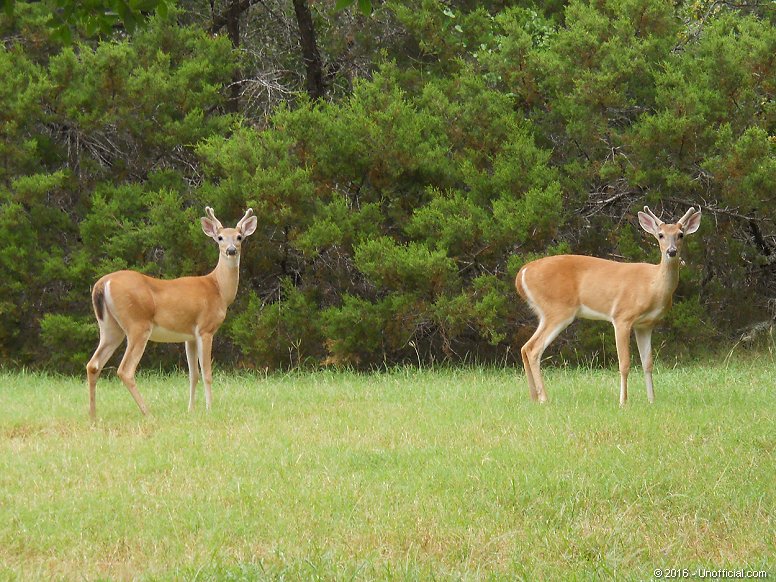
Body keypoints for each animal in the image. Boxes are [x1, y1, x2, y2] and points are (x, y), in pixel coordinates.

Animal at [87, 208, 258, 418]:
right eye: (220, 238)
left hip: (110, 327)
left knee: (93, 365)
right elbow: (207, 373)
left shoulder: (189, 336)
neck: (218, 288)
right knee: (125, 370)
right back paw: (148, 413)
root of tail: (103, 284)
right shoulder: (205, 329)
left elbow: (193, 374)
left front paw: (191, 409)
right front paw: (209, 409)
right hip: (137, 325)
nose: (231, 250)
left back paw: (93, 415)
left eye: (239, 237)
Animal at [516, 209, 704, 406]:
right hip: (557, 309)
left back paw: (533, 397)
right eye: (660, 235)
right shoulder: (622, 316)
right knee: (534, 349)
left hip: (545, 313)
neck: (653, 286)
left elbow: (648, 363)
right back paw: (544, 398)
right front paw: (623, 402)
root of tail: (522, 274)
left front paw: (652, 400)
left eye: (680, 234)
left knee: (525, 347)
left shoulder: (645, 325)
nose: (672, 251)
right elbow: (625, 363)